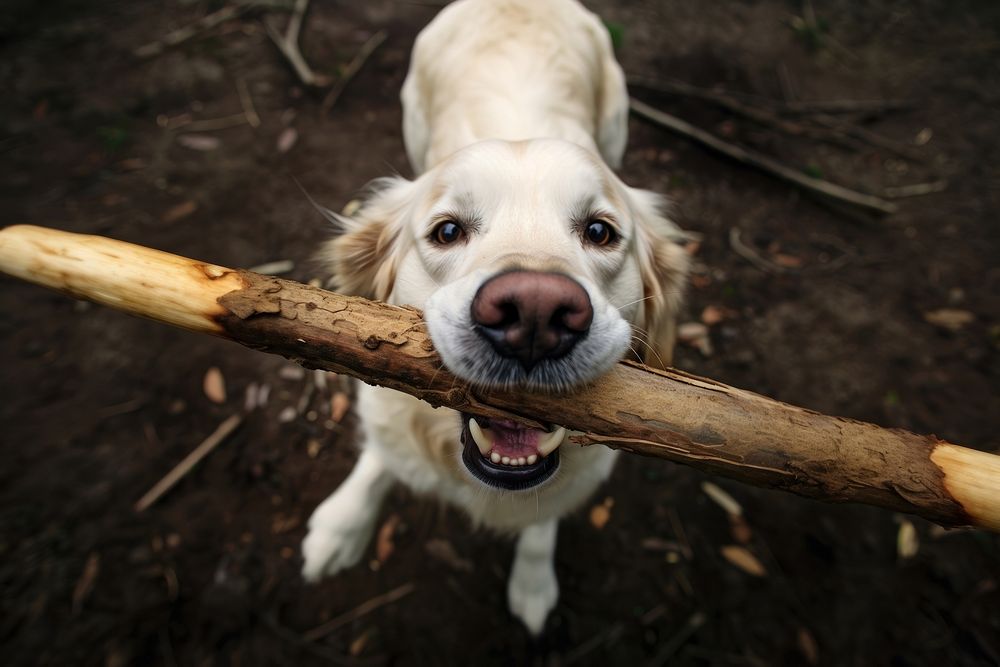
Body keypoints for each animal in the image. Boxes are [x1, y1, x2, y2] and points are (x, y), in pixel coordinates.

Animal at [296, 0, 688, 636]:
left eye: (600, 231)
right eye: (447, 231)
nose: (535, 313)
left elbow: (541, 523)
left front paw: (532, 583)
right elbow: (379, 456)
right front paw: (341, 524)